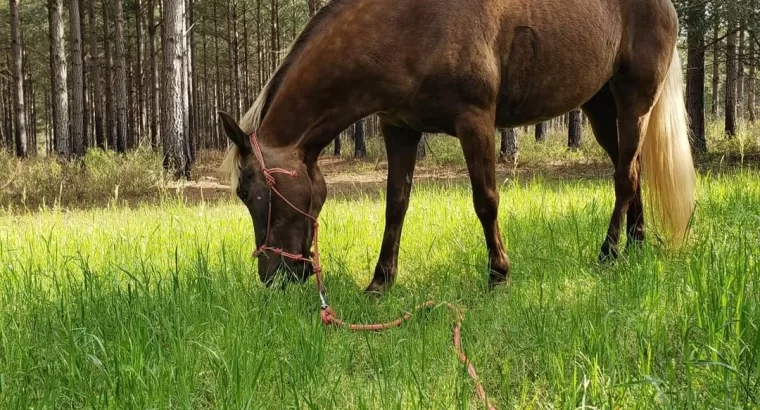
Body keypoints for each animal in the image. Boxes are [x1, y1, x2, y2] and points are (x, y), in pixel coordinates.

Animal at [218, 0, 696, 292]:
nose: (273, 277)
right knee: (631, 171)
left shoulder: (476, 121)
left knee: (624, 176)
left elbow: (486, 200)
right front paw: (380, 282)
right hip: (600, 108)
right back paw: (635, 246)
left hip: (634, 102)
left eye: (251, 193)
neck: (406, 24)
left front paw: (498, 274)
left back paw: (608, 253)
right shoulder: (399, 129)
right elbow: (396, 205)